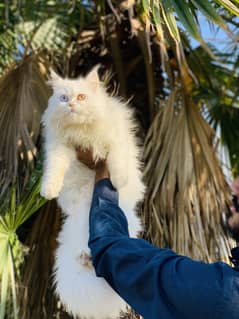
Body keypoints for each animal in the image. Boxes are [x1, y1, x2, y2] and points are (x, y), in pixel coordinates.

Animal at [40, 67, 145, 319]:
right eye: (63, 98)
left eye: (81, 97)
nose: (71, 105)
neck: (81, 131)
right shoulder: (60, 149)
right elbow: (54, 169)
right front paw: (48, 191)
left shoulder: (115, 141)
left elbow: (117, 160)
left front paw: (118, 180)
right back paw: (85, 257)